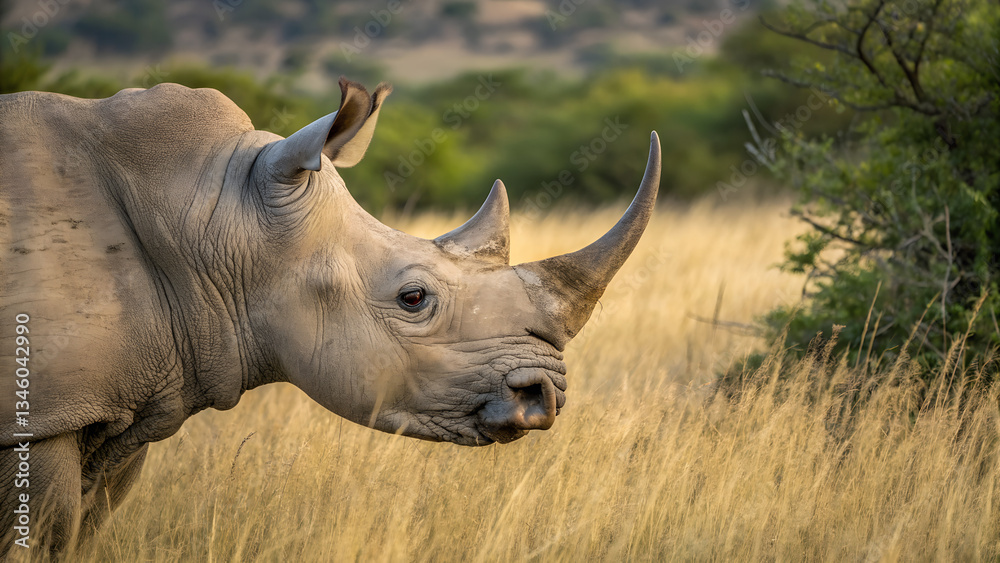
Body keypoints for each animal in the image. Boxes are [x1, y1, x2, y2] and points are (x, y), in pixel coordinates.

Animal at [0, 78, 660, 555]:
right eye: (414, 299)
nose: (547, 394)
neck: (216, 214)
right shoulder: (40, 419)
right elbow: (38, 536)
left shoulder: (124, 402)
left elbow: (76, 534)